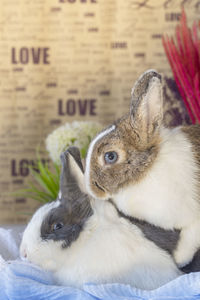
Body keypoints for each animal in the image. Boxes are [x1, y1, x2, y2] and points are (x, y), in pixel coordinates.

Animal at [85, 68, 200, 268]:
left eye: (110, 156)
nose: (91, 188)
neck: (149, 168)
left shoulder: (195, 220)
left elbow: (189, 238)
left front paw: (180, 259)